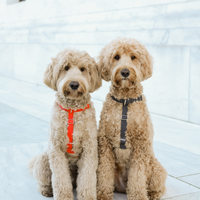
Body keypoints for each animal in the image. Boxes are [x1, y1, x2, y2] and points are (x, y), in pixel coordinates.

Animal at [28, 48, 101, 200]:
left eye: (82, 69)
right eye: (66, 68)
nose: (74, 84)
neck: (72, 109)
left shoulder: (89, 149)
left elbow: (87, 178)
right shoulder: (56, 150)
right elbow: (60, 179)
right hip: (44, 159)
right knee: (42, 181)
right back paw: (46, 189)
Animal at [97, 38, 167, 200]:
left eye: (133, 57)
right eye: (116, 57)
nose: (125, 72)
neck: (125, 101)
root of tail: (123, 188)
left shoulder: (140, 146)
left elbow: (137, 177)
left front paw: (138, 196)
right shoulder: (105, 143)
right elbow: (104, 172)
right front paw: (103, 194)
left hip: (156, 168)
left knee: (158, 186)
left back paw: (152, 194)